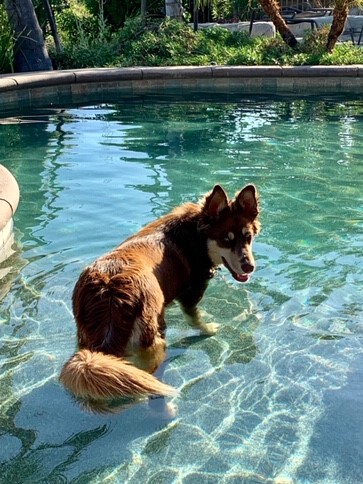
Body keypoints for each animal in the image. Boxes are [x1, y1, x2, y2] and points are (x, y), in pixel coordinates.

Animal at [59, 183, 260, 406]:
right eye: (226, 239)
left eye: (248, 237)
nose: (249, 267)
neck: (196, 236)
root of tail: (110, 293)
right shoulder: (192, 293)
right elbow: (195, 318)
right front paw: (209, 329)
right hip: (154, 336)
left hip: (86, 336)